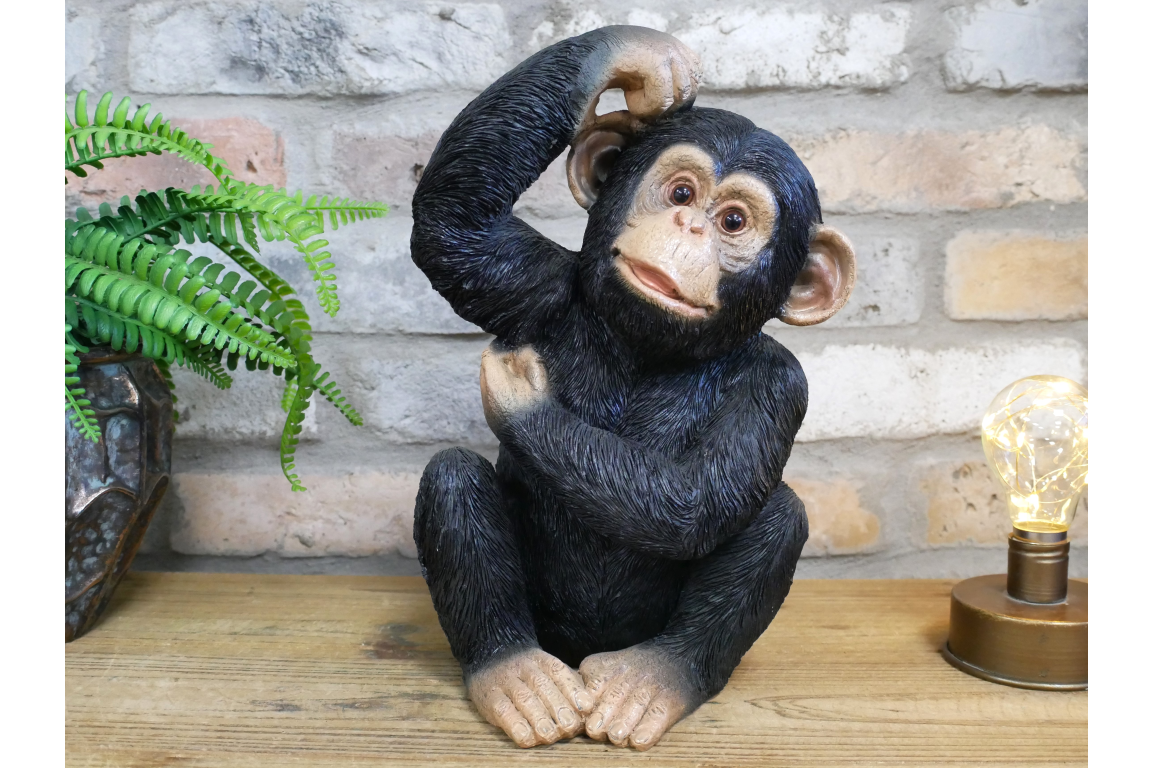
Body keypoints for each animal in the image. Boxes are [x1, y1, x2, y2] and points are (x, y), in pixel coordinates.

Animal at [409, 26, 855, 751]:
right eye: (680, 193)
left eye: (734, 222)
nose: (687, 229)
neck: (645, 348)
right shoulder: (538, 287)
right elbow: (453, 226)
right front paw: (642, 57)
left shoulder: (779, 384)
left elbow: (698, 499)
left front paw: (524, 397)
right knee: (452, 476)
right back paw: (515, 672)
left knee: (779, 514)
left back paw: (652, 678)